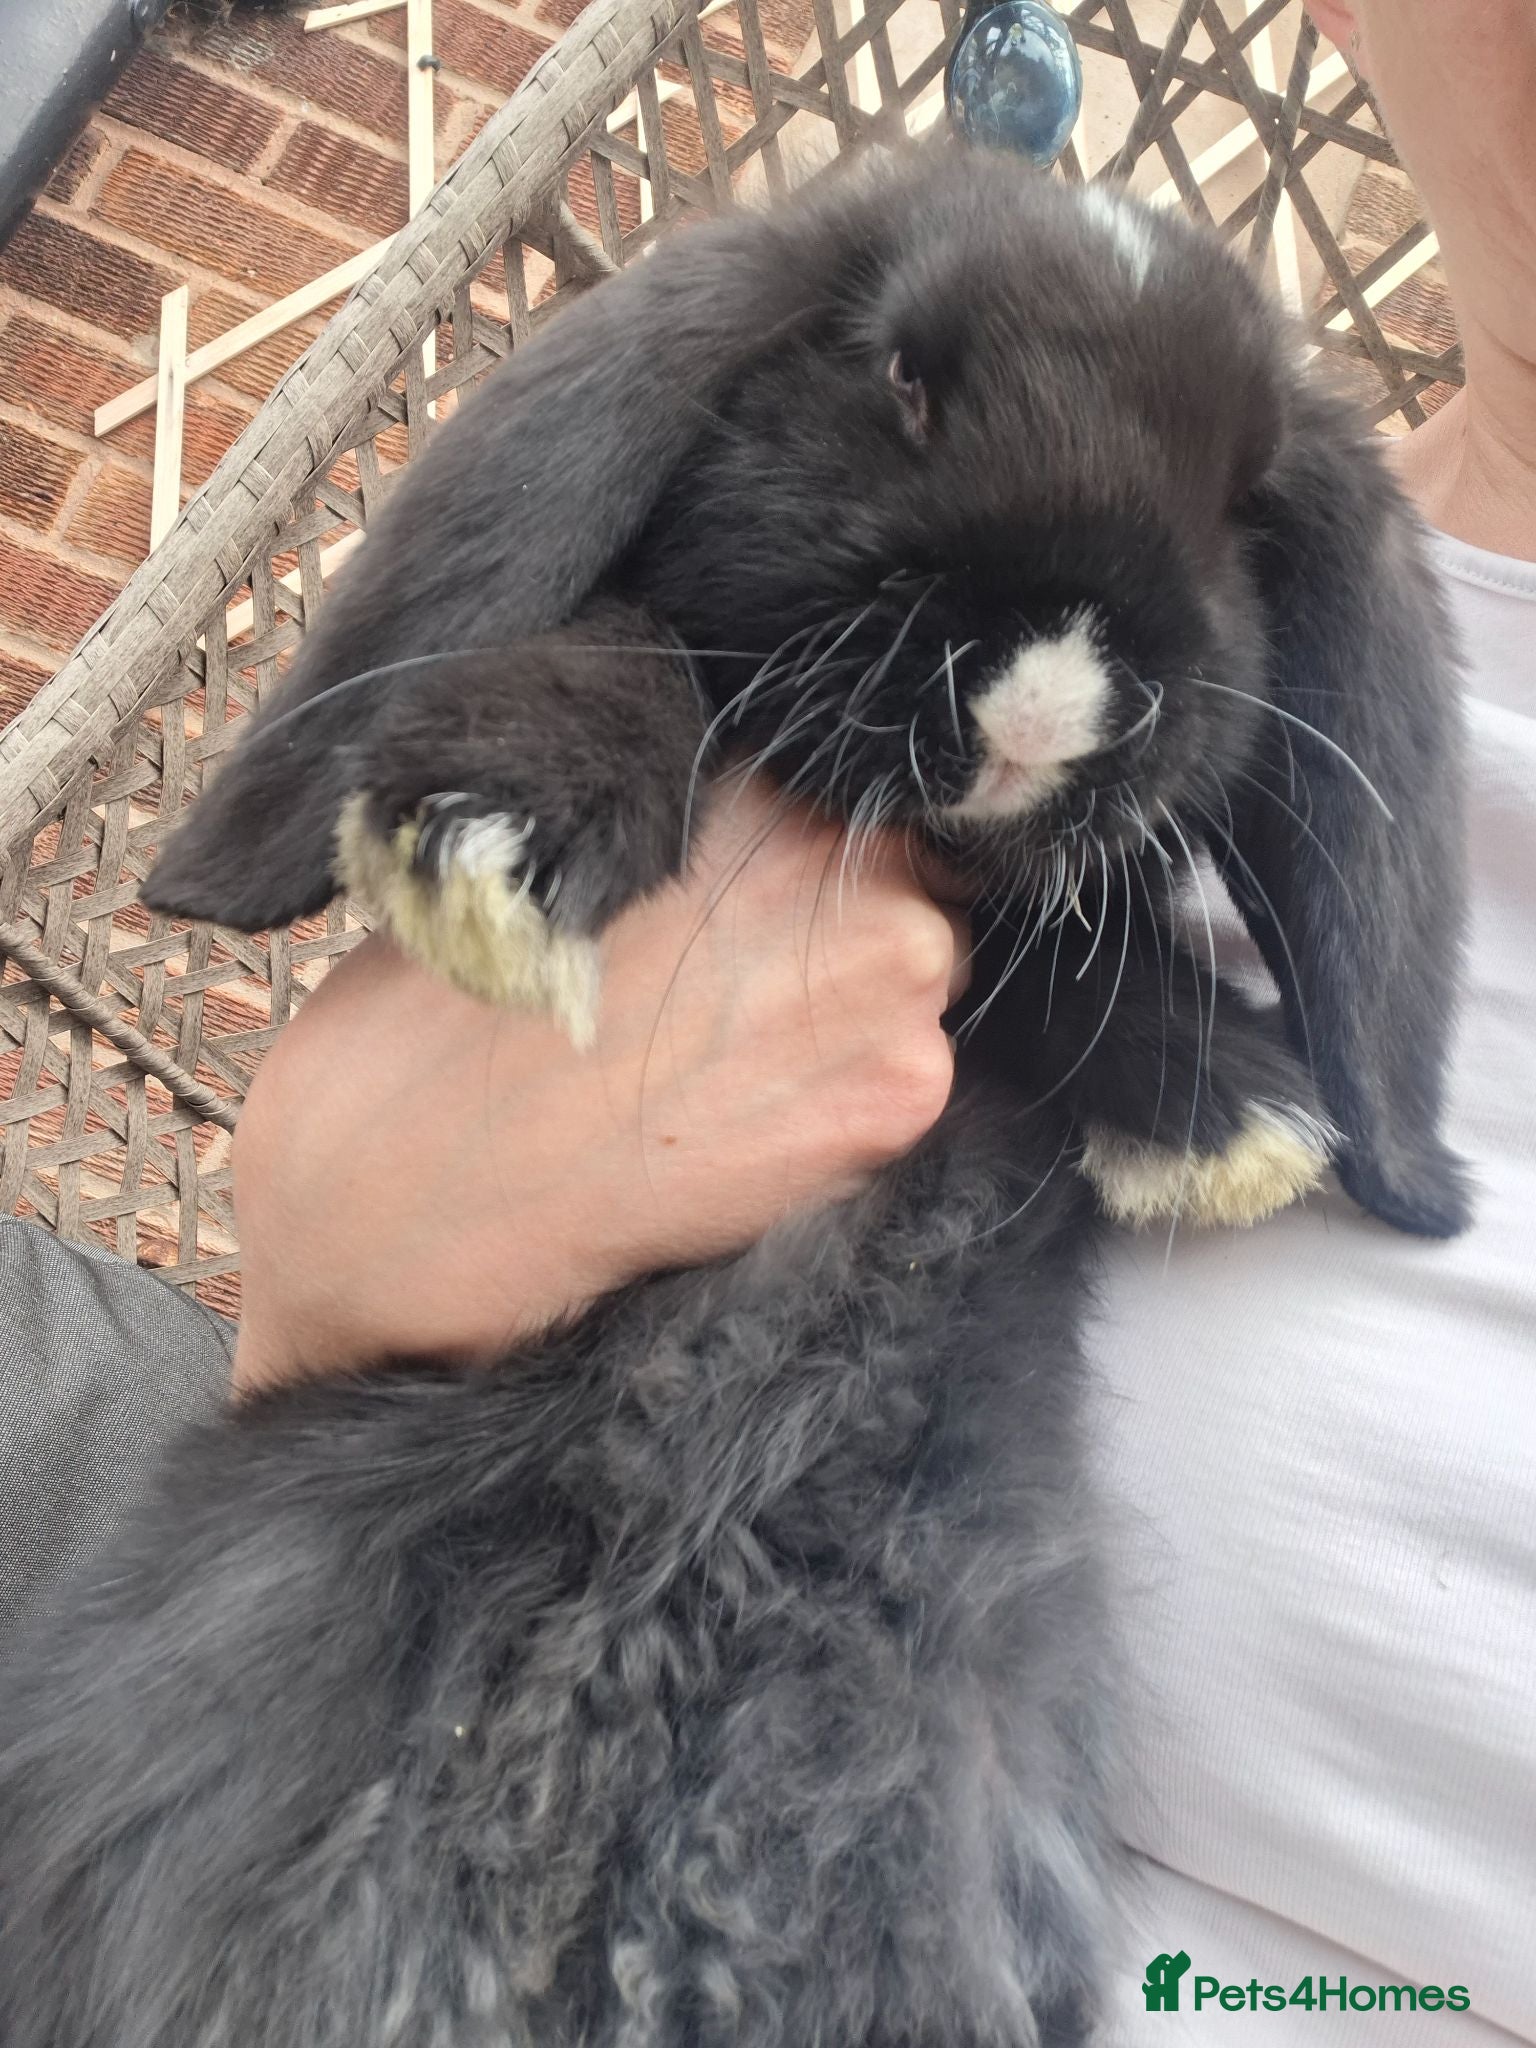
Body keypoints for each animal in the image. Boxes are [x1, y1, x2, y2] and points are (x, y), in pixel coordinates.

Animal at [0, 145, 1468, 2048]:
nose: (1054, 688)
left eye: (1243, 500)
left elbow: (1038, 933)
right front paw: (488, 840)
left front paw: (1226, 1118)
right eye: (903, 379)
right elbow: (643, 652)